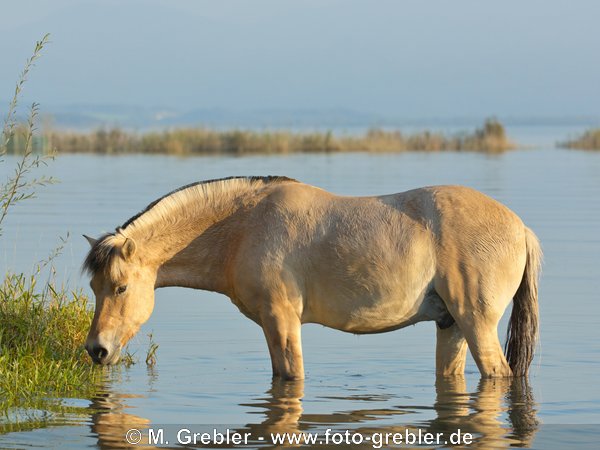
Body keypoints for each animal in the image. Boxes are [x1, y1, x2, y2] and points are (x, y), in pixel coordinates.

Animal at [82, 176, 540, 380]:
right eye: (93, 287)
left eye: (121, 287)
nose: (96, 350)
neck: (245, 225)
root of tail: (521, 228)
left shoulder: (281, 321)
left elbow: (290, 377)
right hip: (451, 325)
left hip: (476, 323)